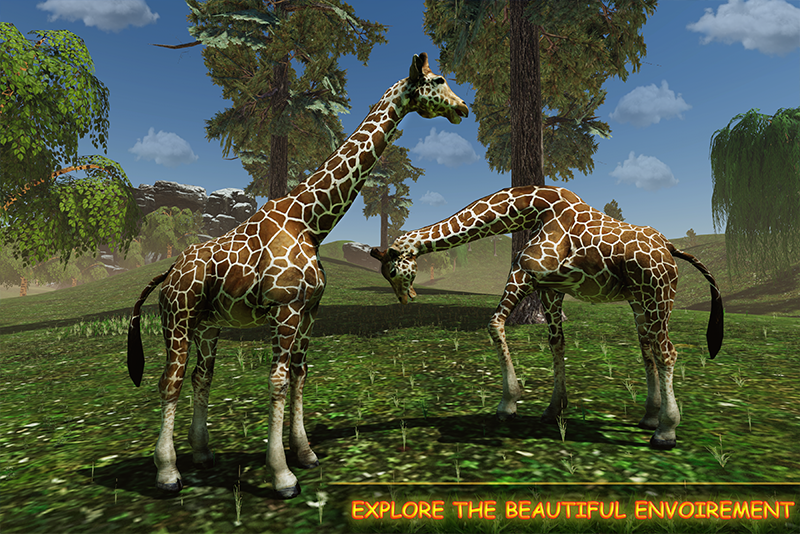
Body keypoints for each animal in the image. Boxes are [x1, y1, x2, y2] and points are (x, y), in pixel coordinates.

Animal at [127, 53, 468, 499]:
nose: (463, 108)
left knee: (202, 377)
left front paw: (305, 454)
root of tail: (167, 273)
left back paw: (202, 454)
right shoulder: (284, 309)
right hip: (178, 320)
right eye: (438, 80)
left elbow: (300, 375)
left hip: (208, 326)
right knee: (171, 380)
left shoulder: (309, 311)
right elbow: (276, 380)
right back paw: (168, 473)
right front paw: (282, 476)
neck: (310, 221)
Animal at [370, 185, 723, 450]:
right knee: (647, 348)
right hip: (640, 299)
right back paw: (649, 417)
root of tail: (670, 248)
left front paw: (508, 404)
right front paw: (554, 409)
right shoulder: (550, 288)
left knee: (667, 352)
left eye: (392, 270)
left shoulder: (524, 272)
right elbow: (556, 342)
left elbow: (494, 323)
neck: (532, 208)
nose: (406, 298)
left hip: (658, 293)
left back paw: (665, 432)